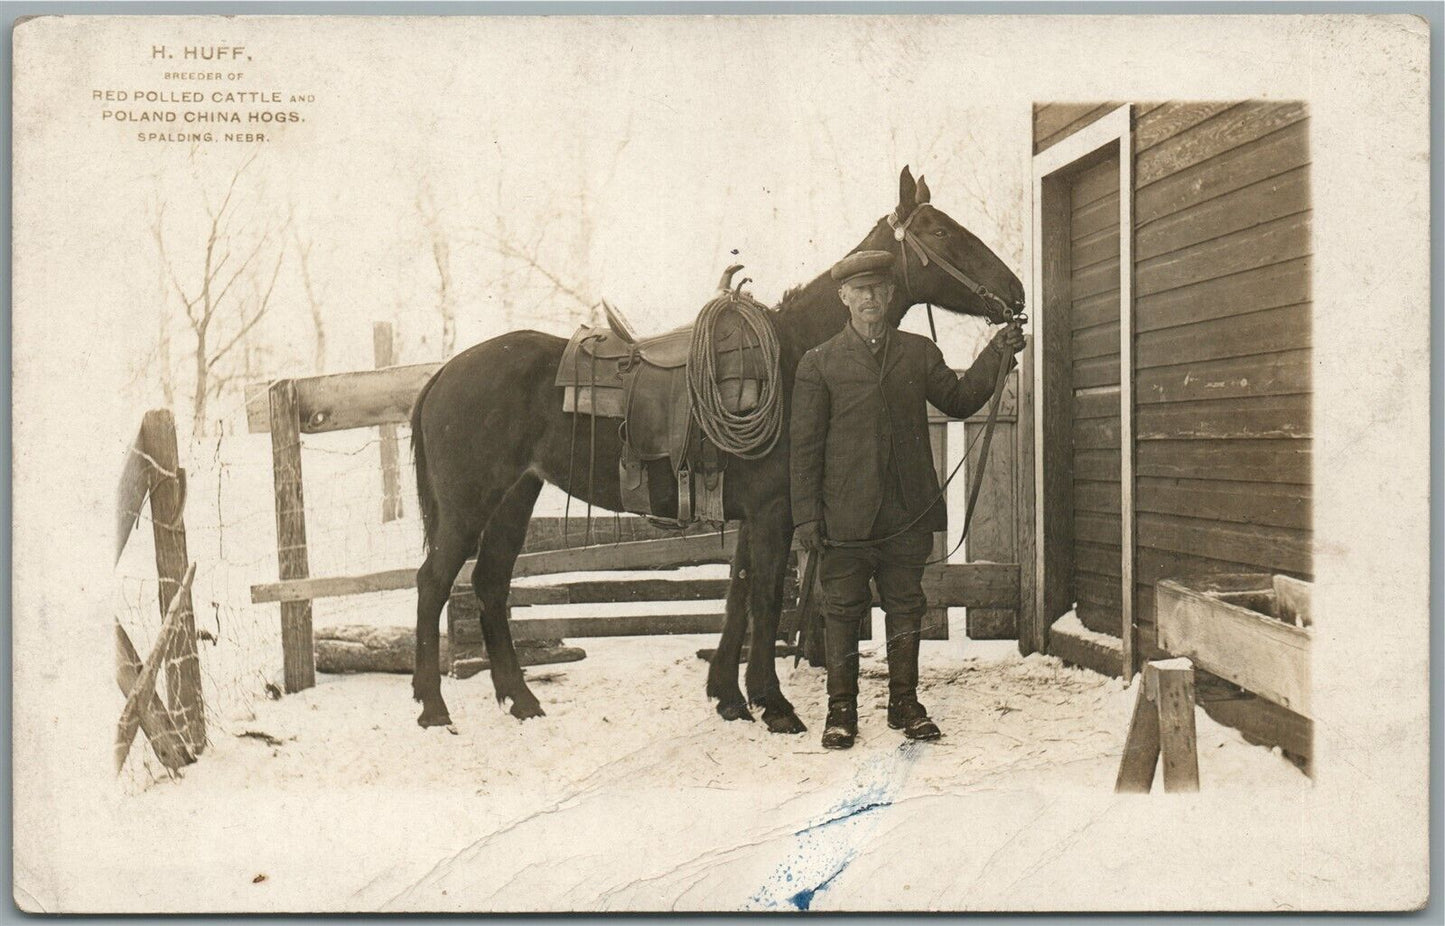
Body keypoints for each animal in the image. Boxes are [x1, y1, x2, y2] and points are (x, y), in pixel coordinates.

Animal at [407, 164, 1023, 728]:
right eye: (940, 232)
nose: (1015, 292)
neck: (795, 352)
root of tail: (442, 376)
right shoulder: (773, 514)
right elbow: (766, 600)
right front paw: (774, 704)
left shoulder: (756, 516)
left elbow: (738, 598)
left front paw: (729, 695)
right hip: (468, 506)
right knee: (434, 583)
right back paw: (433, 707)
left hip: (515, 497)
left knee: (489, 584)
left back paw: (520, 699)